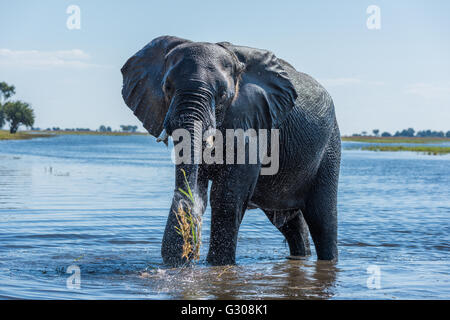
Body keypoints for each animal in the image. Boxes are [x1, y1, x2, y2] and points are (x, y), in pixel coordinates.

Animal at [121, 35, 340, 266]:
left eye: (222, 95)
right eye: (167, 87)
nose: (184, 256)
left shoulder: (253, 121)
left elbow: (227, 194)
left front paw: (217, 264)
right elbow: (199, 188)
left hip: (330, 145)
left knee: (322, 218)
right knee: (290, 223)